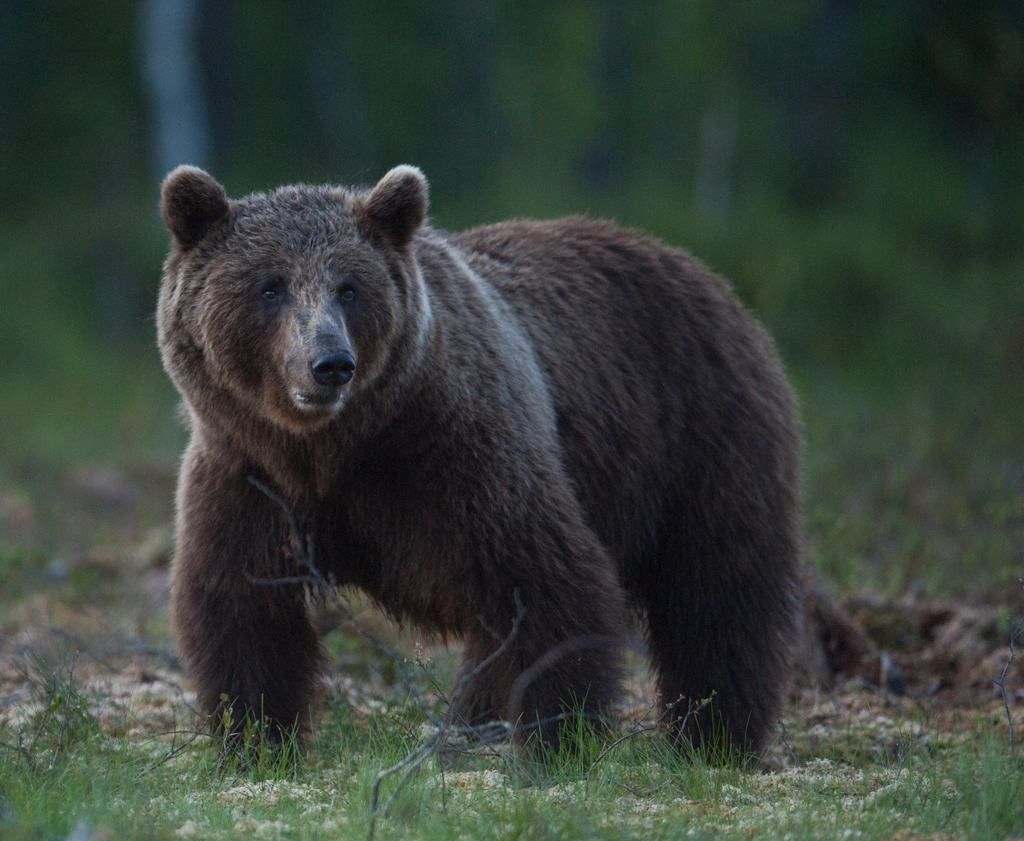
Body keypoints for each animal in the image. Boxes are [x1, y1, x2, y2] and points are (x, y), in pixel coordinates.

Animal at [157, 163, 801, 758]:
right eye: (271, 286)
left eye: (349, 287)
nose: (330, 362)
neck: (333, 448)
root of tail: (707, 275)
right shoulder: (247, 476)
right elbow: (241, 606)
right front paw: (256, 739)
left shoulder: (459, 454)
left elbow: (547, 581)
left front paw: (557, 740)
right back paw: (469, 723)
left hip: (699, 435)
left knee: (718, 591)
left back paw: (716, 736)